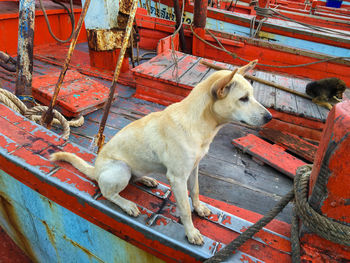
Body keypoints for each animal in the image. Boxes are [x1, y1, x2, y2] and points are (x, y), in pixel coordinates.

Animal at [50, 59, 272, 245]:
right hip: (121, 169)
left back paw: (147, 180)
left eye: (252, 96)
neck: (199, 123)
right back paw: (127, 204)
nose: (269, 117)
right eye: (244, 98)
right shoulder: (178, 177)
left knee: (134, 178)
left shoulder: (194, 168)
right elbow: (184, 209)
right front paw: (191, 232)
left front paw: (199, 208)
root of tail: (95, 170)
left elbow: (196, 191)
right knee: (107, 192)